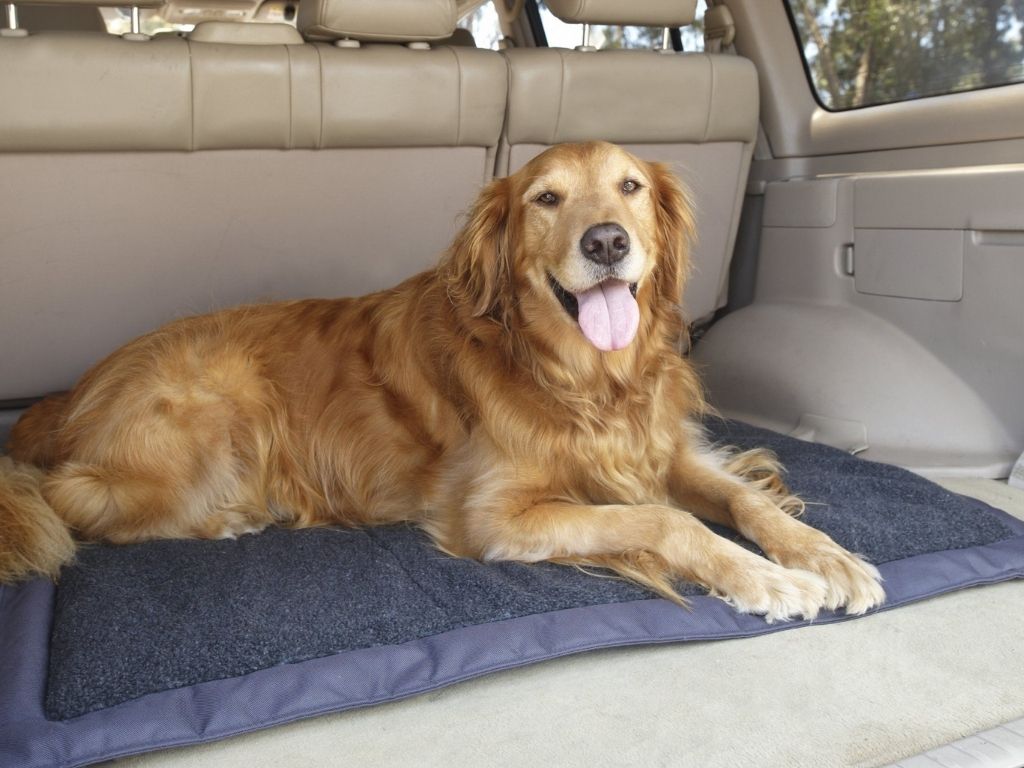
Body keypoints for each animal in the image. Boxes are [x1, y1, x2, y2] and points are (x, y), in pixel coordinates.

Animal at [0, 141, 883, 621]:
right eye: (546, 199)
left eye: (630, 187)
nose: (605, 242)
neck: (580, 380)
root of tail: (75, 391)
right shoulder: (495, 516)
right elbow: (667, 523)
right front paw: (765, 578)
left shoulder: (661, 452)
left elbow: (741, 499)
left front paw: (825, 557)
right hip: (216, 406)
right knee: (75, 498)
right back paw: (228, 518)